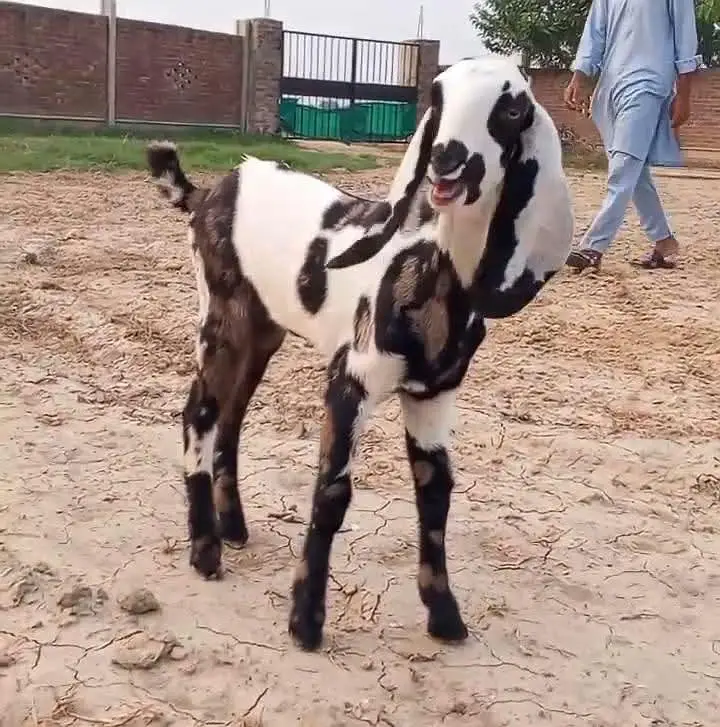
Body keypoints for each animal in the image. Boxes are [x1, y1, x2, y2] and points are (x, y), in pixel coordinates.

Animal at [146, 56, 574, 652]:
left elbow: (436, 491)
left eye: (512, 109)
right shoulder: (351, 380)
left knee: (232, 417)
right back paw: (204, 549)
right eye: (437, 97)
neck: (430, 269)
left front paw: (445, 616)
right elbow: (332, 491)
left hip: (262, 332)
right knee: (199, 412)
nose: (446, 158)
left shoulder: (433, 397)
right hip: (220, 320)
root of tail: (211, 190)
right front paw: (305, 621)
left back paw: (232, 529)